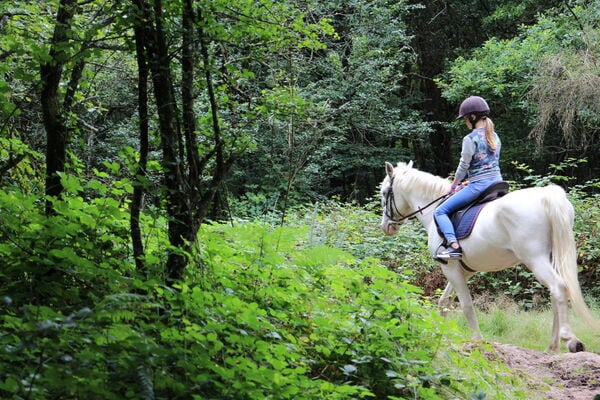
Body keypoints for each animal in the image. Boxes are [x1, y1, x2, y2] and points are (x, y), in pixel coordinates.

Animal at [382, 161, 596, 352]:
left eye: (384, 193)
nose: (386, 227)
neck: (434, 210)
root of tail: (545, 196)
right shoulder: (461, 270)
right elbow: (444, 302)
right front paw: (439, 335)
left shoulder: (449, 267)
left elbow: (466, 305)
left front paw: (477, 341)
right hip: (551, 259)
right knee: (555, 293)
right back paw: (552, 346)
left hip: (535, 259)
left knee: (558, 287)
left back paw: (569, 338)